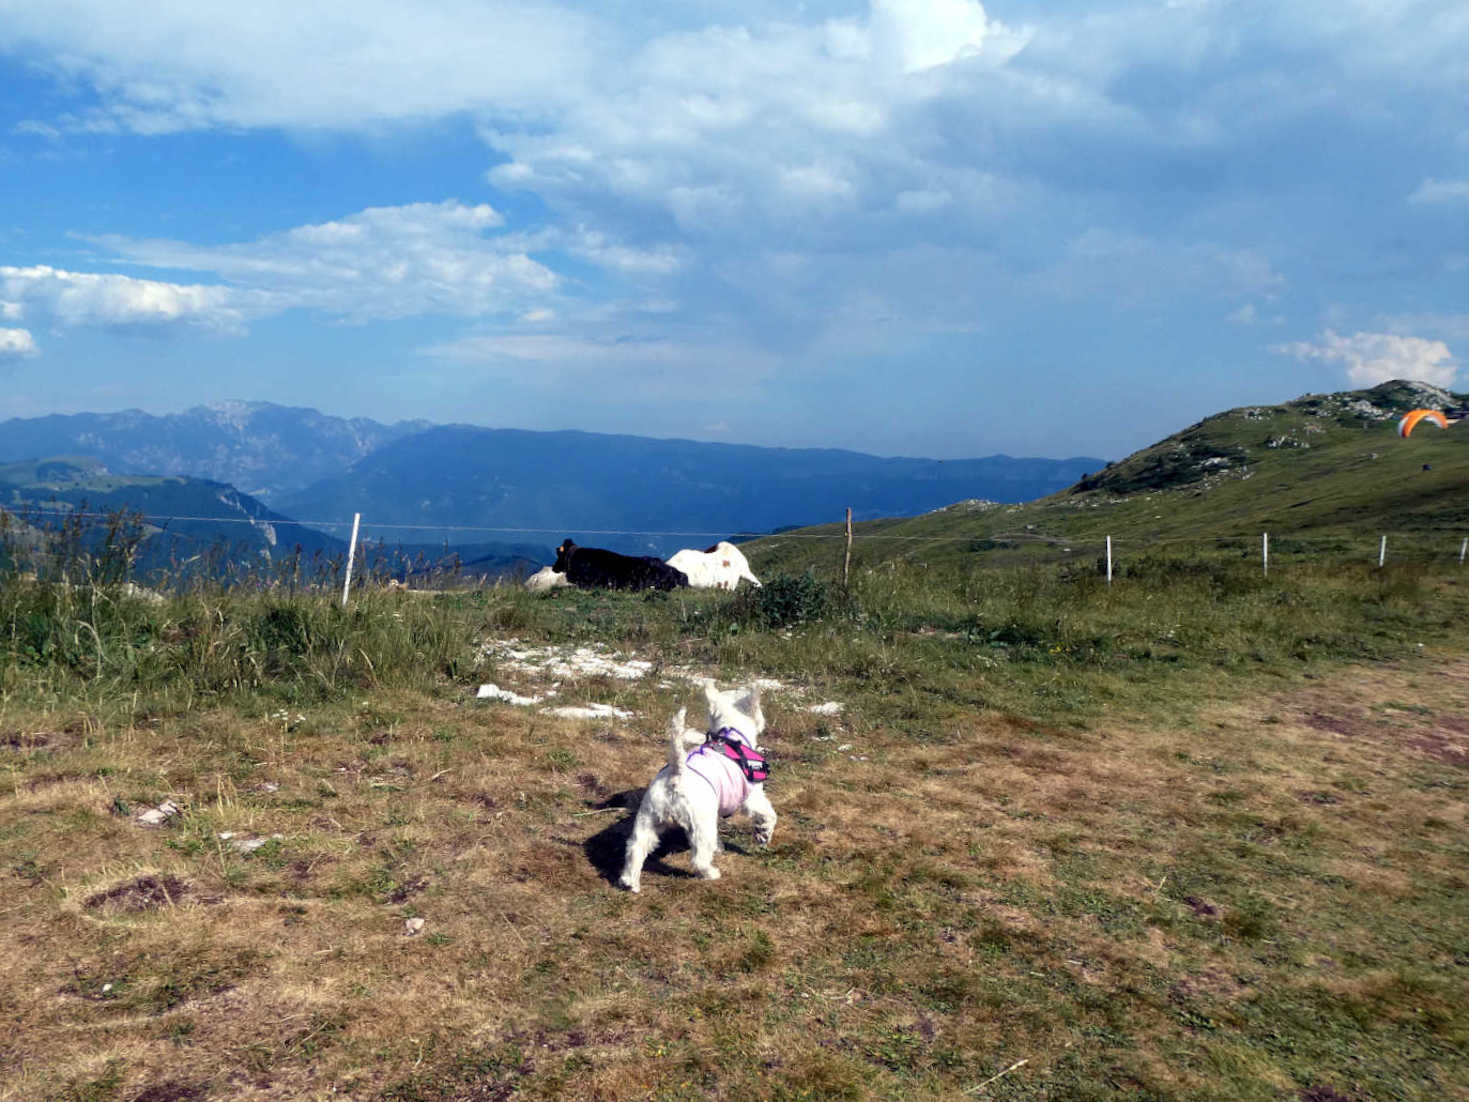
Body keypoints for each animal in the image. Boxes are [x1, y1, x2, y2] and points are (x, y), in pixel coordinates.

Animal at [619, 687, 781, 893]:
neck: (732, 736)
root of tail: (676, 776)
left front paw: (720, 846)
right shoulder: (752, 797)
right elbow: (768, 814)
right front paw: (763, 834)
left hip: (648, 819)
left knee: (635, 847)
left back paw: (629, 881)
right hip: (701, 826)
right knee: (699, 859)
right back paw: (711, 873)